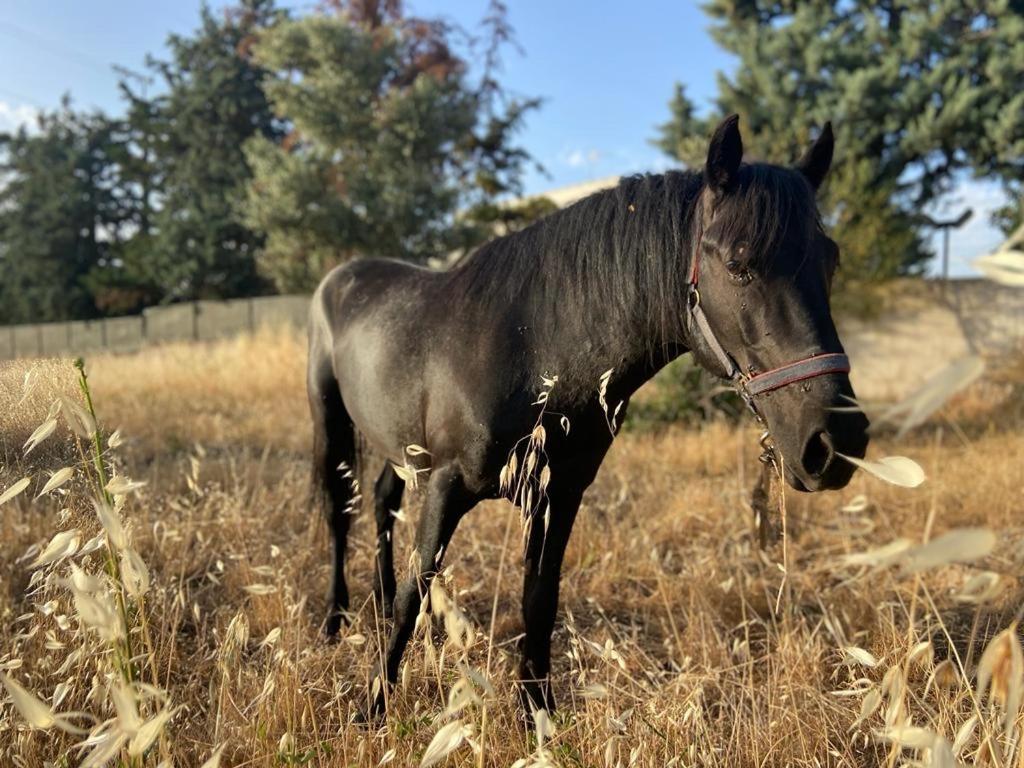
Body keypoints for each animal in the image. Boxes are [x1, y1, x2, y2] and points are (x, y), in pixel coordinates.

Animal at [307, 117, 868, 720]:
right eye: (739, 264)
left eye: (830, 261)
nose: (837, 441)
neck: (533, 346)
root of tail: (340, 276)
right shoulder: (446, 483)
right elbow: (420, 584)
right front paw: (373, 706)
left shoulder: (558, 494)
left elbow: (539, 598)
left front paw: (537, 713)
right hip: (332, 423)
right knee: (339, 513)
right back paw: (335, 620)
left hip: (397, 447)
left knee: (381, 502)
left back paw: (376, 601)